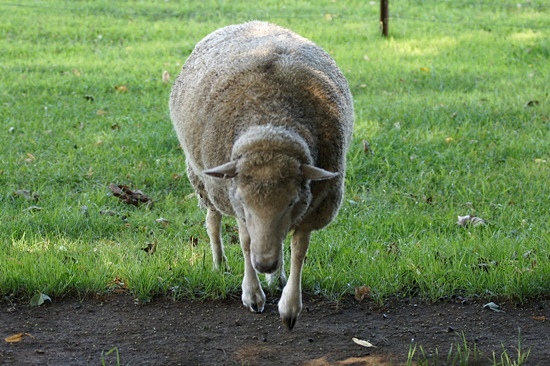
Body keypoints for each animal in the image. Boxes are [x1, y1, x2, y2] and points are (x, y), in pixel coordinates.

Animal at [170, 20, 356, 328]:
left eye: (292, 202)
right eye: (245, 202)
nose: (264, 264)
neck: (271, 128)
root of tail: (248, 23)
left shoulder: (313, 209)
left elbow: (298, 251)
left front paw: (289, 305)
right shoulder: (236, 201)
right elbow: (246, 243)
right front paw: (252, 294)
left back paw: (275, 276)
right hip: (205, 182)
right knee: (213, 222)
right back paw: (220, 262)